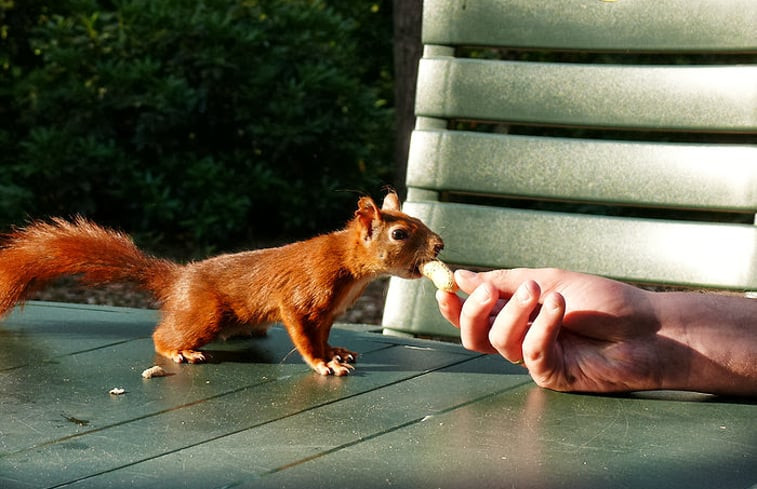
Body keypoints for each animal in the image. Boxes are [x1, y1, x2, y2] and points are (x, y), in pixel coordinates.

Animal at [0, 191, 442, 374]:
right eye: (400, 233)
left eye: (418, 220)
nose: (440, 244)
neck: (351, 268)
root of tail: (178, 278)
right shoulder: (303, 296)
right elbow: (303, 335)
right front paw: (322, 364)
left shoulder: (329, 312)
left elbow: (322, 334)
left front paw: (335, 351)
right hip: (206, 314)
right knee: (163, 335)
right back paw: (180, 352)